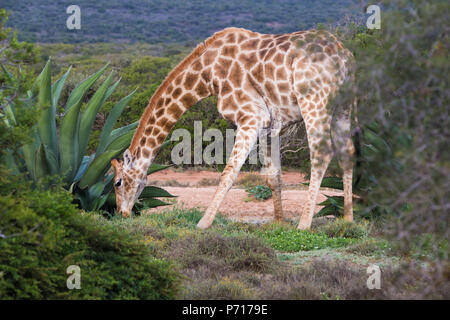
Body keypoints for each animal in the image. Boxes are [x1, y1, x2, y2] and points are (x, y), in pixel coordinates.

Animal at [111, 26, 356, 228]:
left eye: (117, 182)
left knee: (322, 155)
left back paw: (305, 223)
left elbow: (229, 172)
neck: (207, 75)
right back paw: (348, 219)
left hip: (314, 102)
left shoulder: (251, 116)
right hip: (343, 108)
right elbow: (273, 175)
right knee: (347, 152)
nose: (122, 214)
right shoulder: (270, 125)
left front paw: (203, 223)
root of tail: (344, 56)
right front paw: (279, 222)